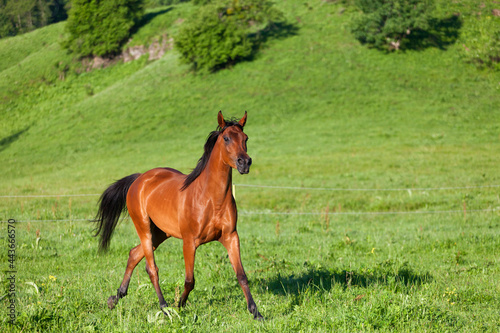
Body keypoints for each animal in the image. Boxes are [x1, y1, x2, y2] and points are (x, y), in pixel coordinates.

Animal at [95, 111, 264, 320]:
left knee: (134, 254)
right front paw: (180, 305)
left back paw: (116, 297)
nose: (244, 162)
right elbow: (190, 280)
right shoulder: (189, 242)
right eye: (226, 138)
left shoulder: (231, 237)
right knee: (151, 268)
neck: (211, 199)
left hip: (161, 233)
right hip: (144, 228)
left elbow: (241, 275)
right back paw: (164, 307)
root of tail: (139, 179)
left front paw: (256, 312)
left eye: (245, 138)